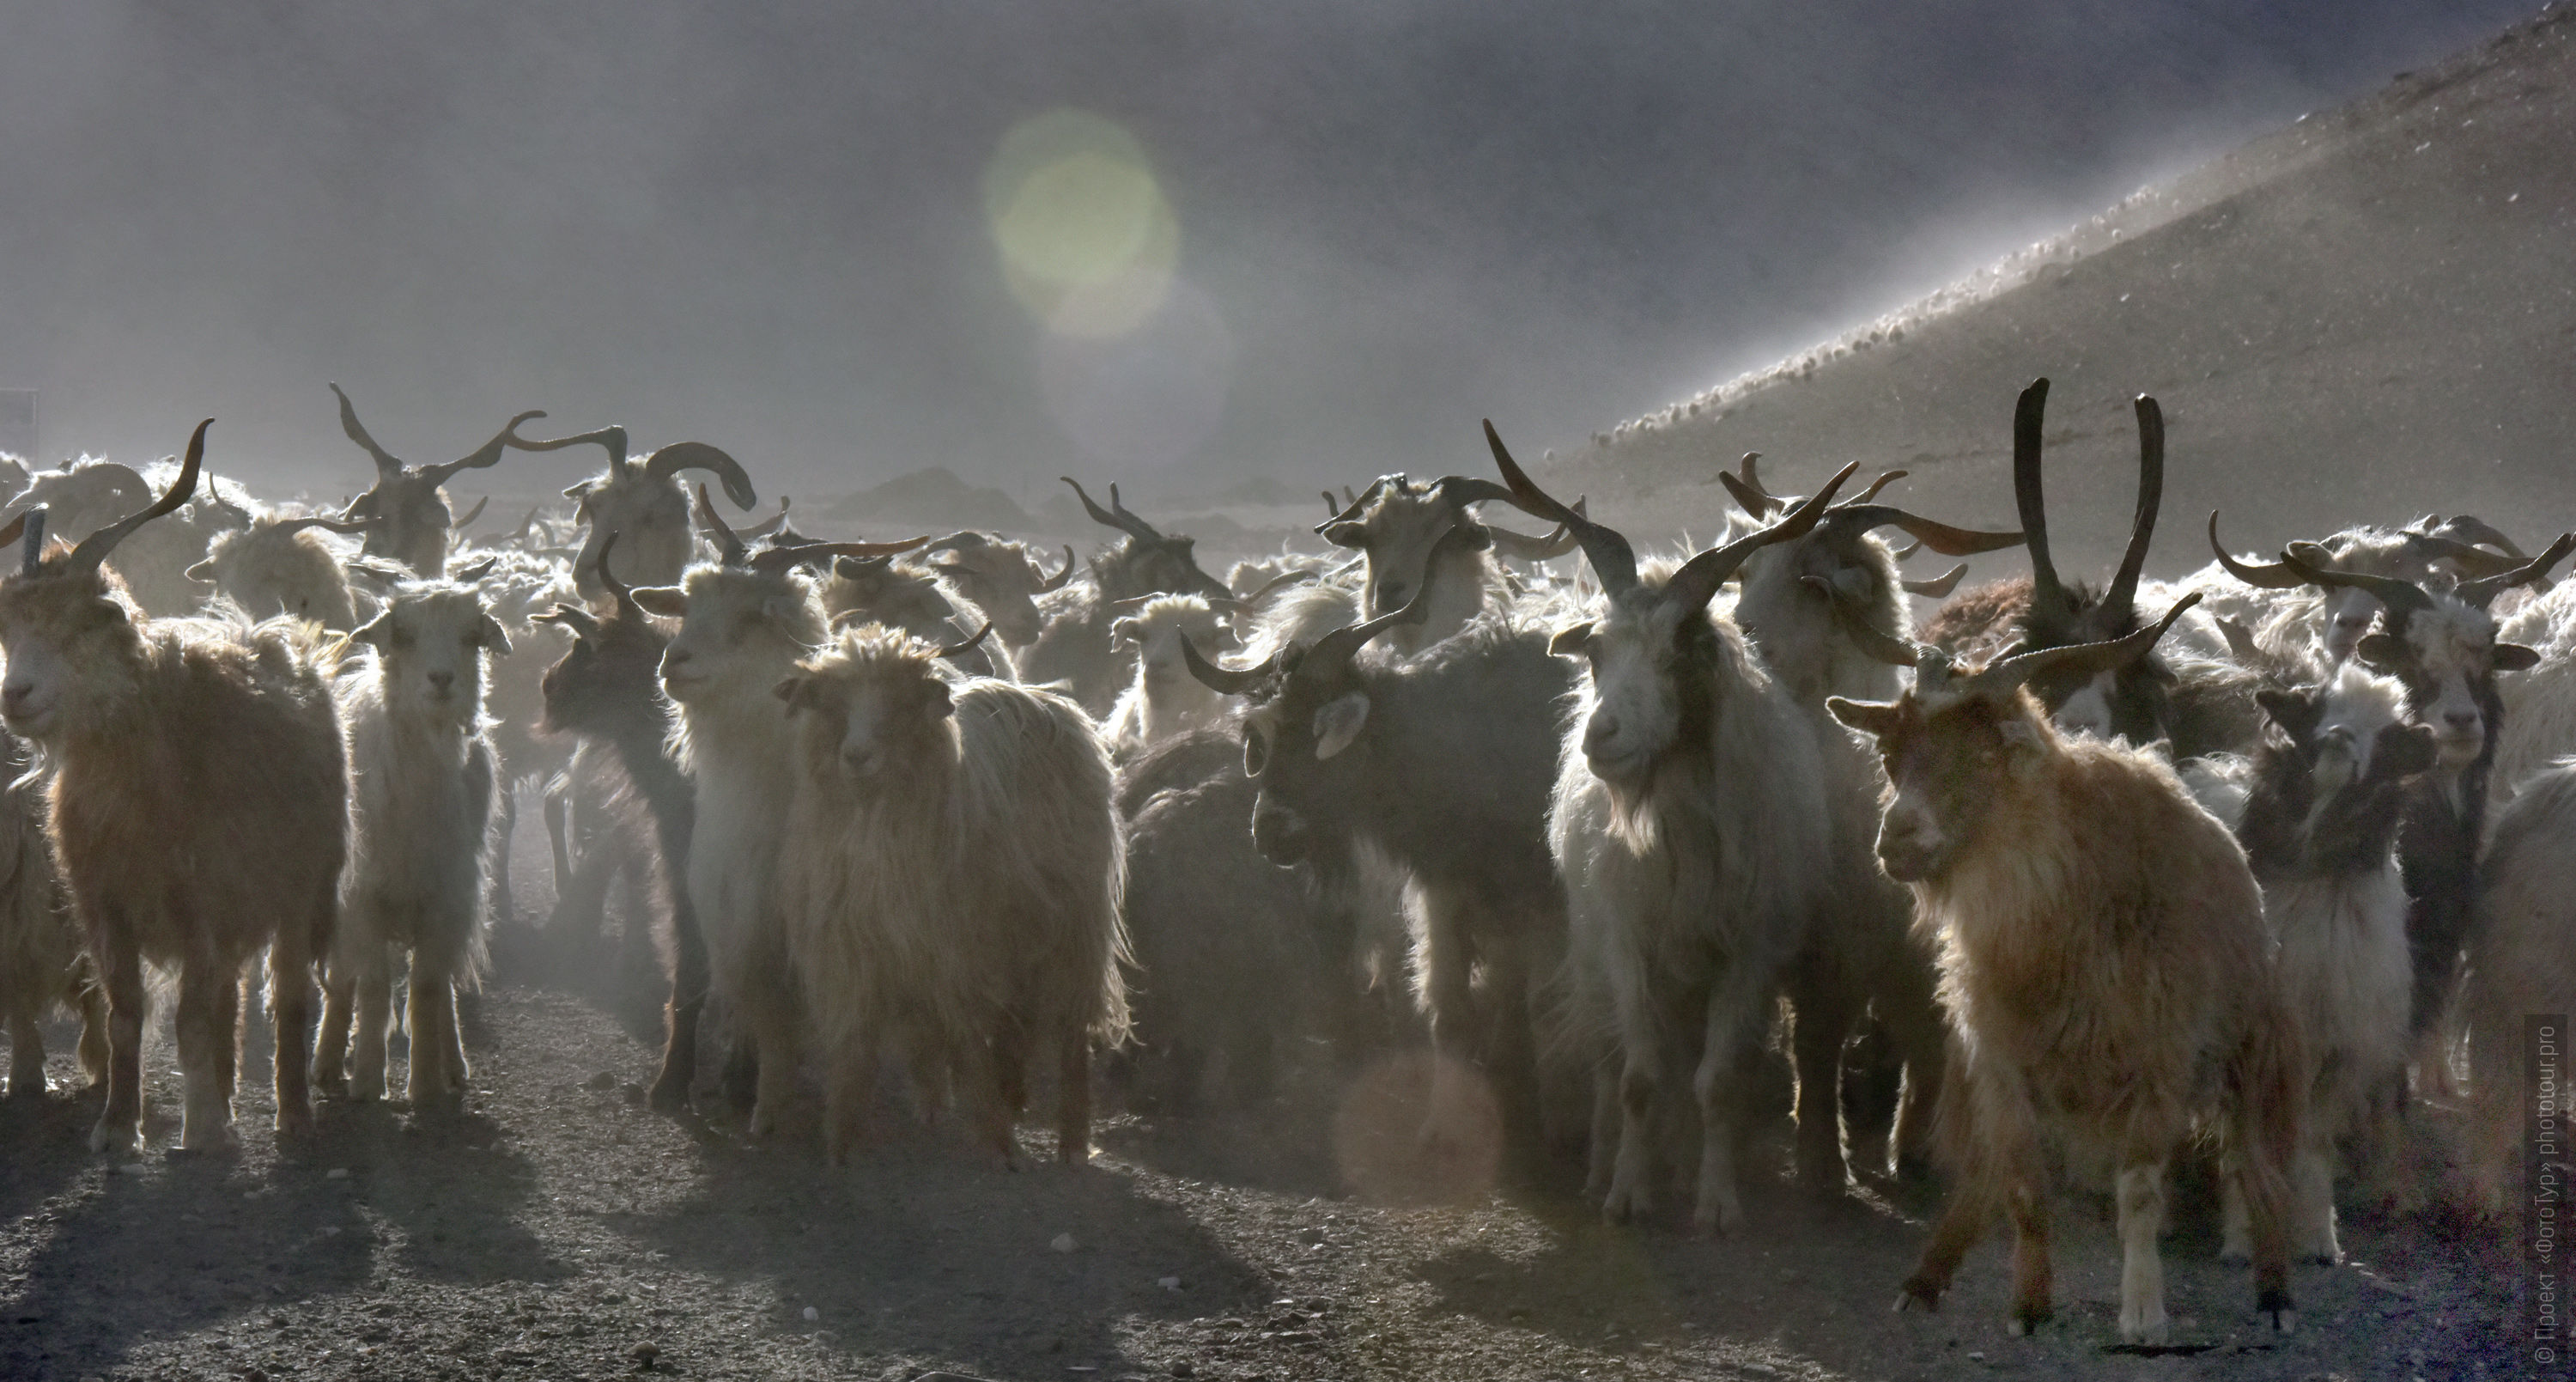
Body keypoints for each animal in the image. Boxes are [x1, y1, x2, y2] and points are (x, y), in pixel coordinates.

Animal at [313, 577, 513, 1108]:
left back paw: (453, 1065)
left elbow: (425, 989)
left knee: (441, 986)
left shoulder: (445, 899)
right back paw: (326, 1062)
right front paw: (366, 1080)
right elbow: (373, 986)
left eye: (471, 636)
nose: (441, 679)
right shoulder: (360, 897)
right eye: (402, 635)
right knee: (344, 978)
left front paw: (424, 1085)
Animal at [768, 626, 1123, 1165]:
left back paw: (1071, 1142)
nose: (856, 756)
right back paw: (988, 1099)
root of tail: (1036, 698)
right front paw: (842, 1141)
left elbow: (970, 1039)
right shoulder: (852, 947)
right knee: (1007, 1021)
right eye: (832, 702)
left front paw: (998, 1143)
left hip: (1075, 924)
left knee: (1068, 1031)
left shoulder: (962, 950)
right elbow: (854, 1045)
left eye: (903, 701)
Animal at [1824, 598, 2308, 1340]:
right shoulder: (1999, 1059)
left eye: (1982, 754)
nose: (1896, 838)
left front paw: (2142, 1310)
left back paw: (2276, 1291)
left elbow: (2140, 1191)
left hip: (2251, 1047)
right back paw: (1926, 1277)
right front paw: (2028, 1305)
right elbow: (2021, 1184)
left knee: (2260, 1168)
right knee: (1983, 1172)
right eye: (1890, 754)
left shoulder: (2159, 1060)